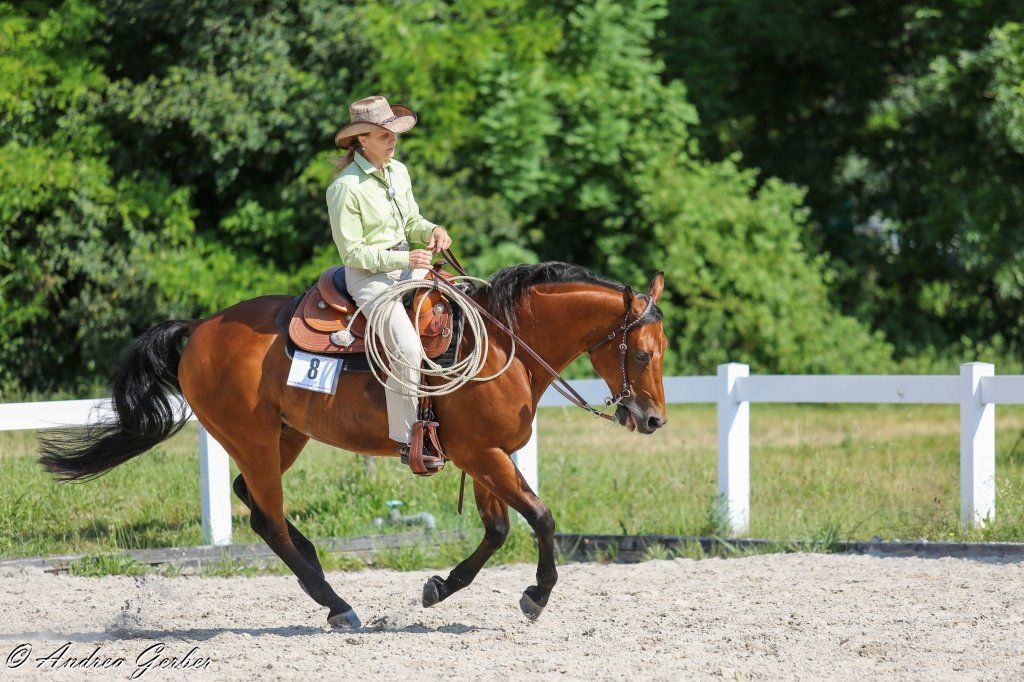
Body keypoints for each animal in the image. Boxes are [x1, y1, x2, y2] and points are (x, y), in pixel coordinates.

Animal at [38, 261, 669, 629]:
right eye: (641, 354)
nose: (653, 419)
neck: (502, 346)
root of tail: (198, 330)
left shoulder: (486, 457)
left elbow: (496, 529)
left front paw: (440, 588)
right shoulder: (483, 456)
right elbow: (539, 517)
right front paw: (536, 595)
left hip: (284, 437)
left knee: (253, 502)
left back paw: (318, 574)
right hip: (254, 439)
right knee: (268, 517)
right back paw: (336, 603)